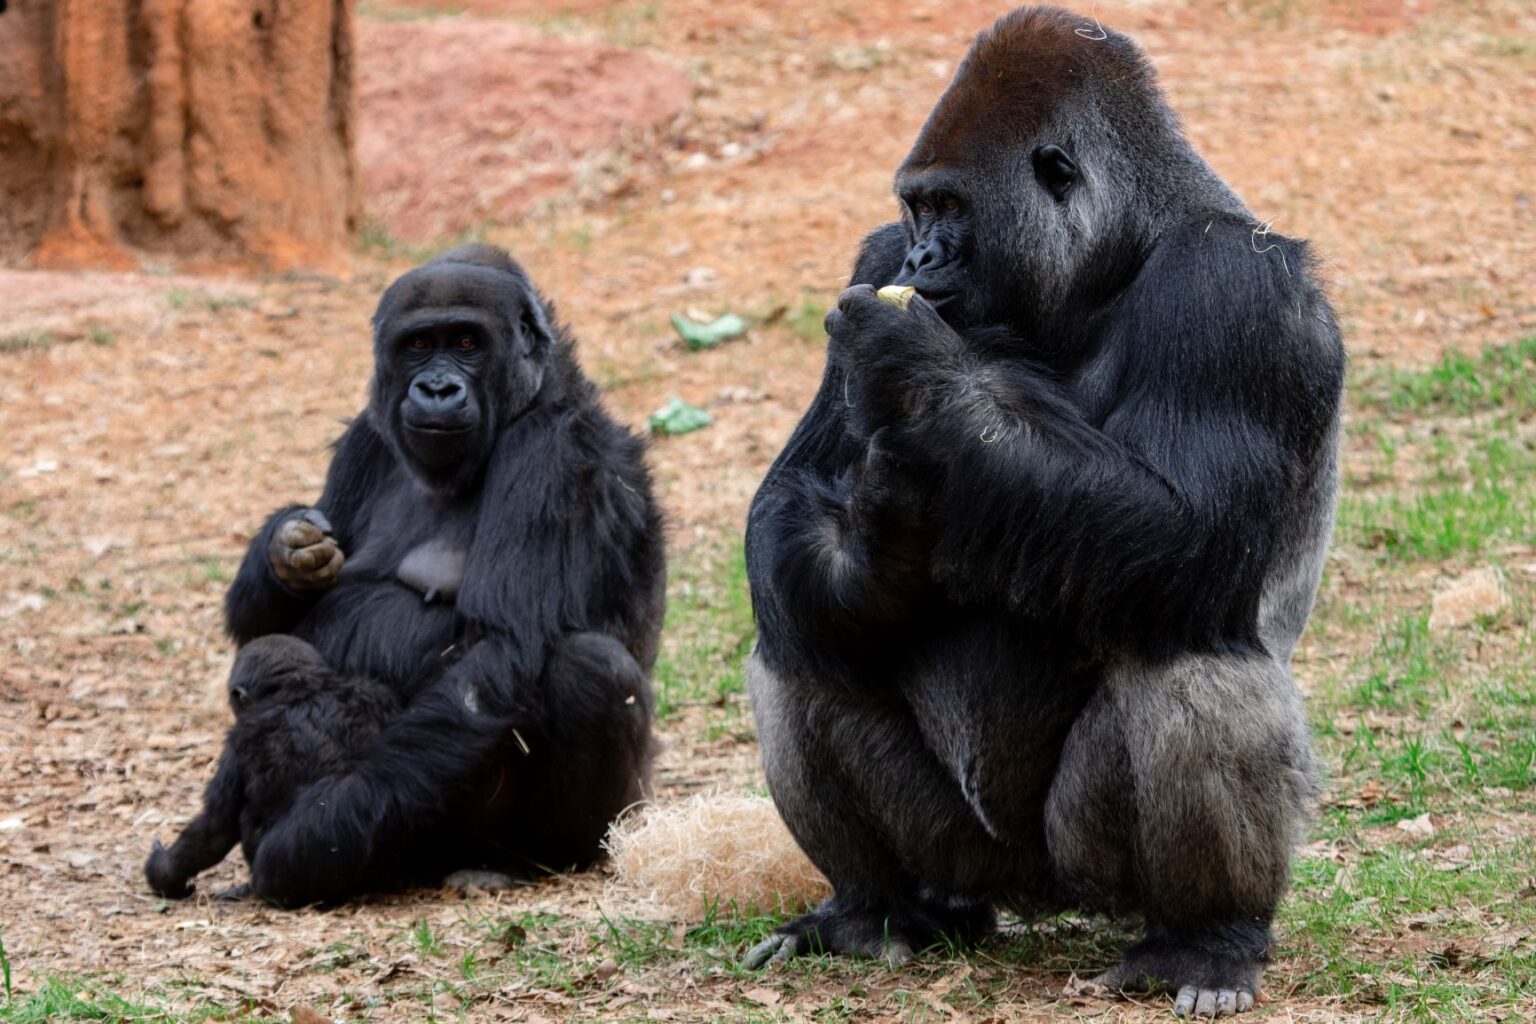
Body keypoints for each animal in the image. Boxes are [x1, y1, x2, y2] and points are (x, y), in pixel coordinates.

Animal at [743, 5, 1345, 1019]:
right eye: (915, 212)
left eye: (951, 209)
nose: (921, 258)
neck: (1121, 248)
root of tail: (1033, 894)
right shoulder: (867, 262)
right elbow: (789, 501)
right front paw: (878, 549)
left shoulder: (1238, 288)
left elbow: (1190, 532)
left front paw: (925, 378)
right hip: (960, 855)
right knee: (802, 637)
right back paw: (873, 908)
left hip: (1085, 868)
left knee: (1187, 662)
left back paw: (1206, 940)